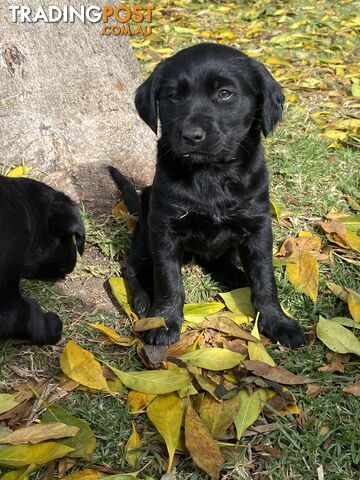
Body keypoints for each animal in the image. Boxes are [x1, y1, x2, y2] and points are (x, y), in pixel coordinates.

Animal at [109, 43, 304, 346]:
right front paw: (164, 320)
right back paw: (142, 300)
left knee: (222, 264)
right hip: (145, 229)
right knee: (132, 267)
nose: (191, 135)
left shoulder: (258, 226)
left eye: (225, 93)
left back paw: (238, 279)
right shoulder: (164, 227)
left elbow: (264, 278)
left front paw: (277, 320)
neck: (210, 174)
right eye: (174, 96)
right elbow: (168, 280)